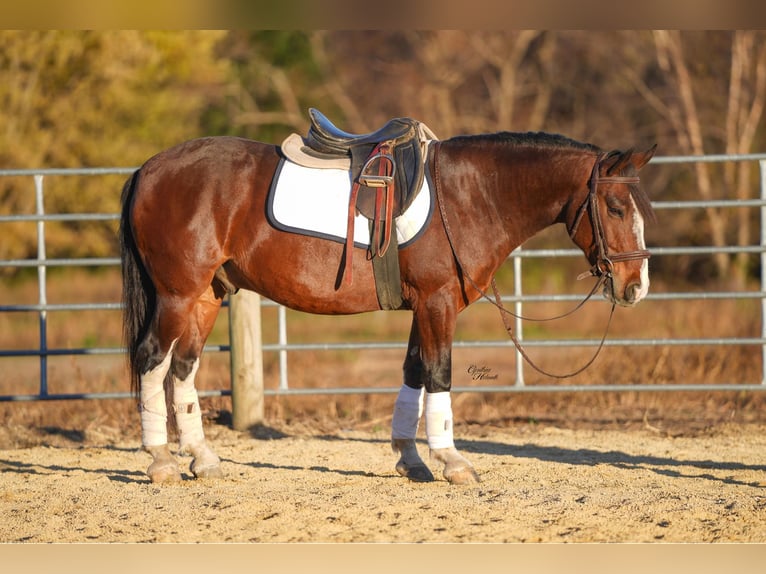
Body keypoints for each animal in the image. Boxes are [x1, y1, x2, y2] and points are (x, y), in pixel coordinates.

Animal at [119, 125, 656, 485]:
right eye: (614, 209)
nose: (635, 287)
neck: (470, 195)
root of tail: (148, 169)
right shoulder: (438, 304)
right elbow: (439, 375)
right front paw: (453, 462)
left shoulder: (425, 307)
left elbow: (413, 374)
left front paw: (411, 459)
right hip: (177, 295)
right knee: (152, 360)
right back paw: (160, 460)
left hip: (206, 297)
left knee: (183, 370)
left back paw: (202, 459)